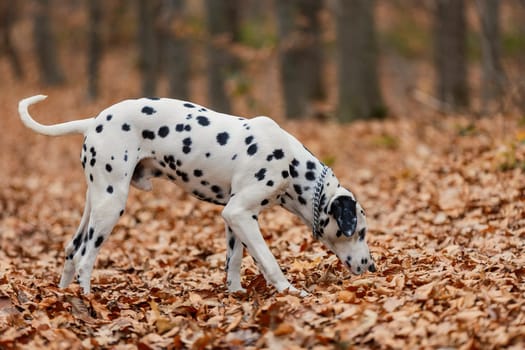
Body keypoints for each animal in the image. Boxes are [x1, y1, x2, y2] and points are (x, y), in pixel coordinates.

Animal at [18, 94, 374, 296]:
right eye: (360, 231)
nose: (371, 267)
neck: (290, 162)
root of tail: (93, 121)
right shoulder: (240, 214)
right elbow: (268, 260)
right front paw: (290, 292)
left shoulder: (235, 219)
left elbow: (234, 262)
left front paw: (235, 294)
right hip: (111, 206)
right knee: (84, 258)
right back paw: (88, 302)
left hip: (97, 201)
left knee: (70, 249)